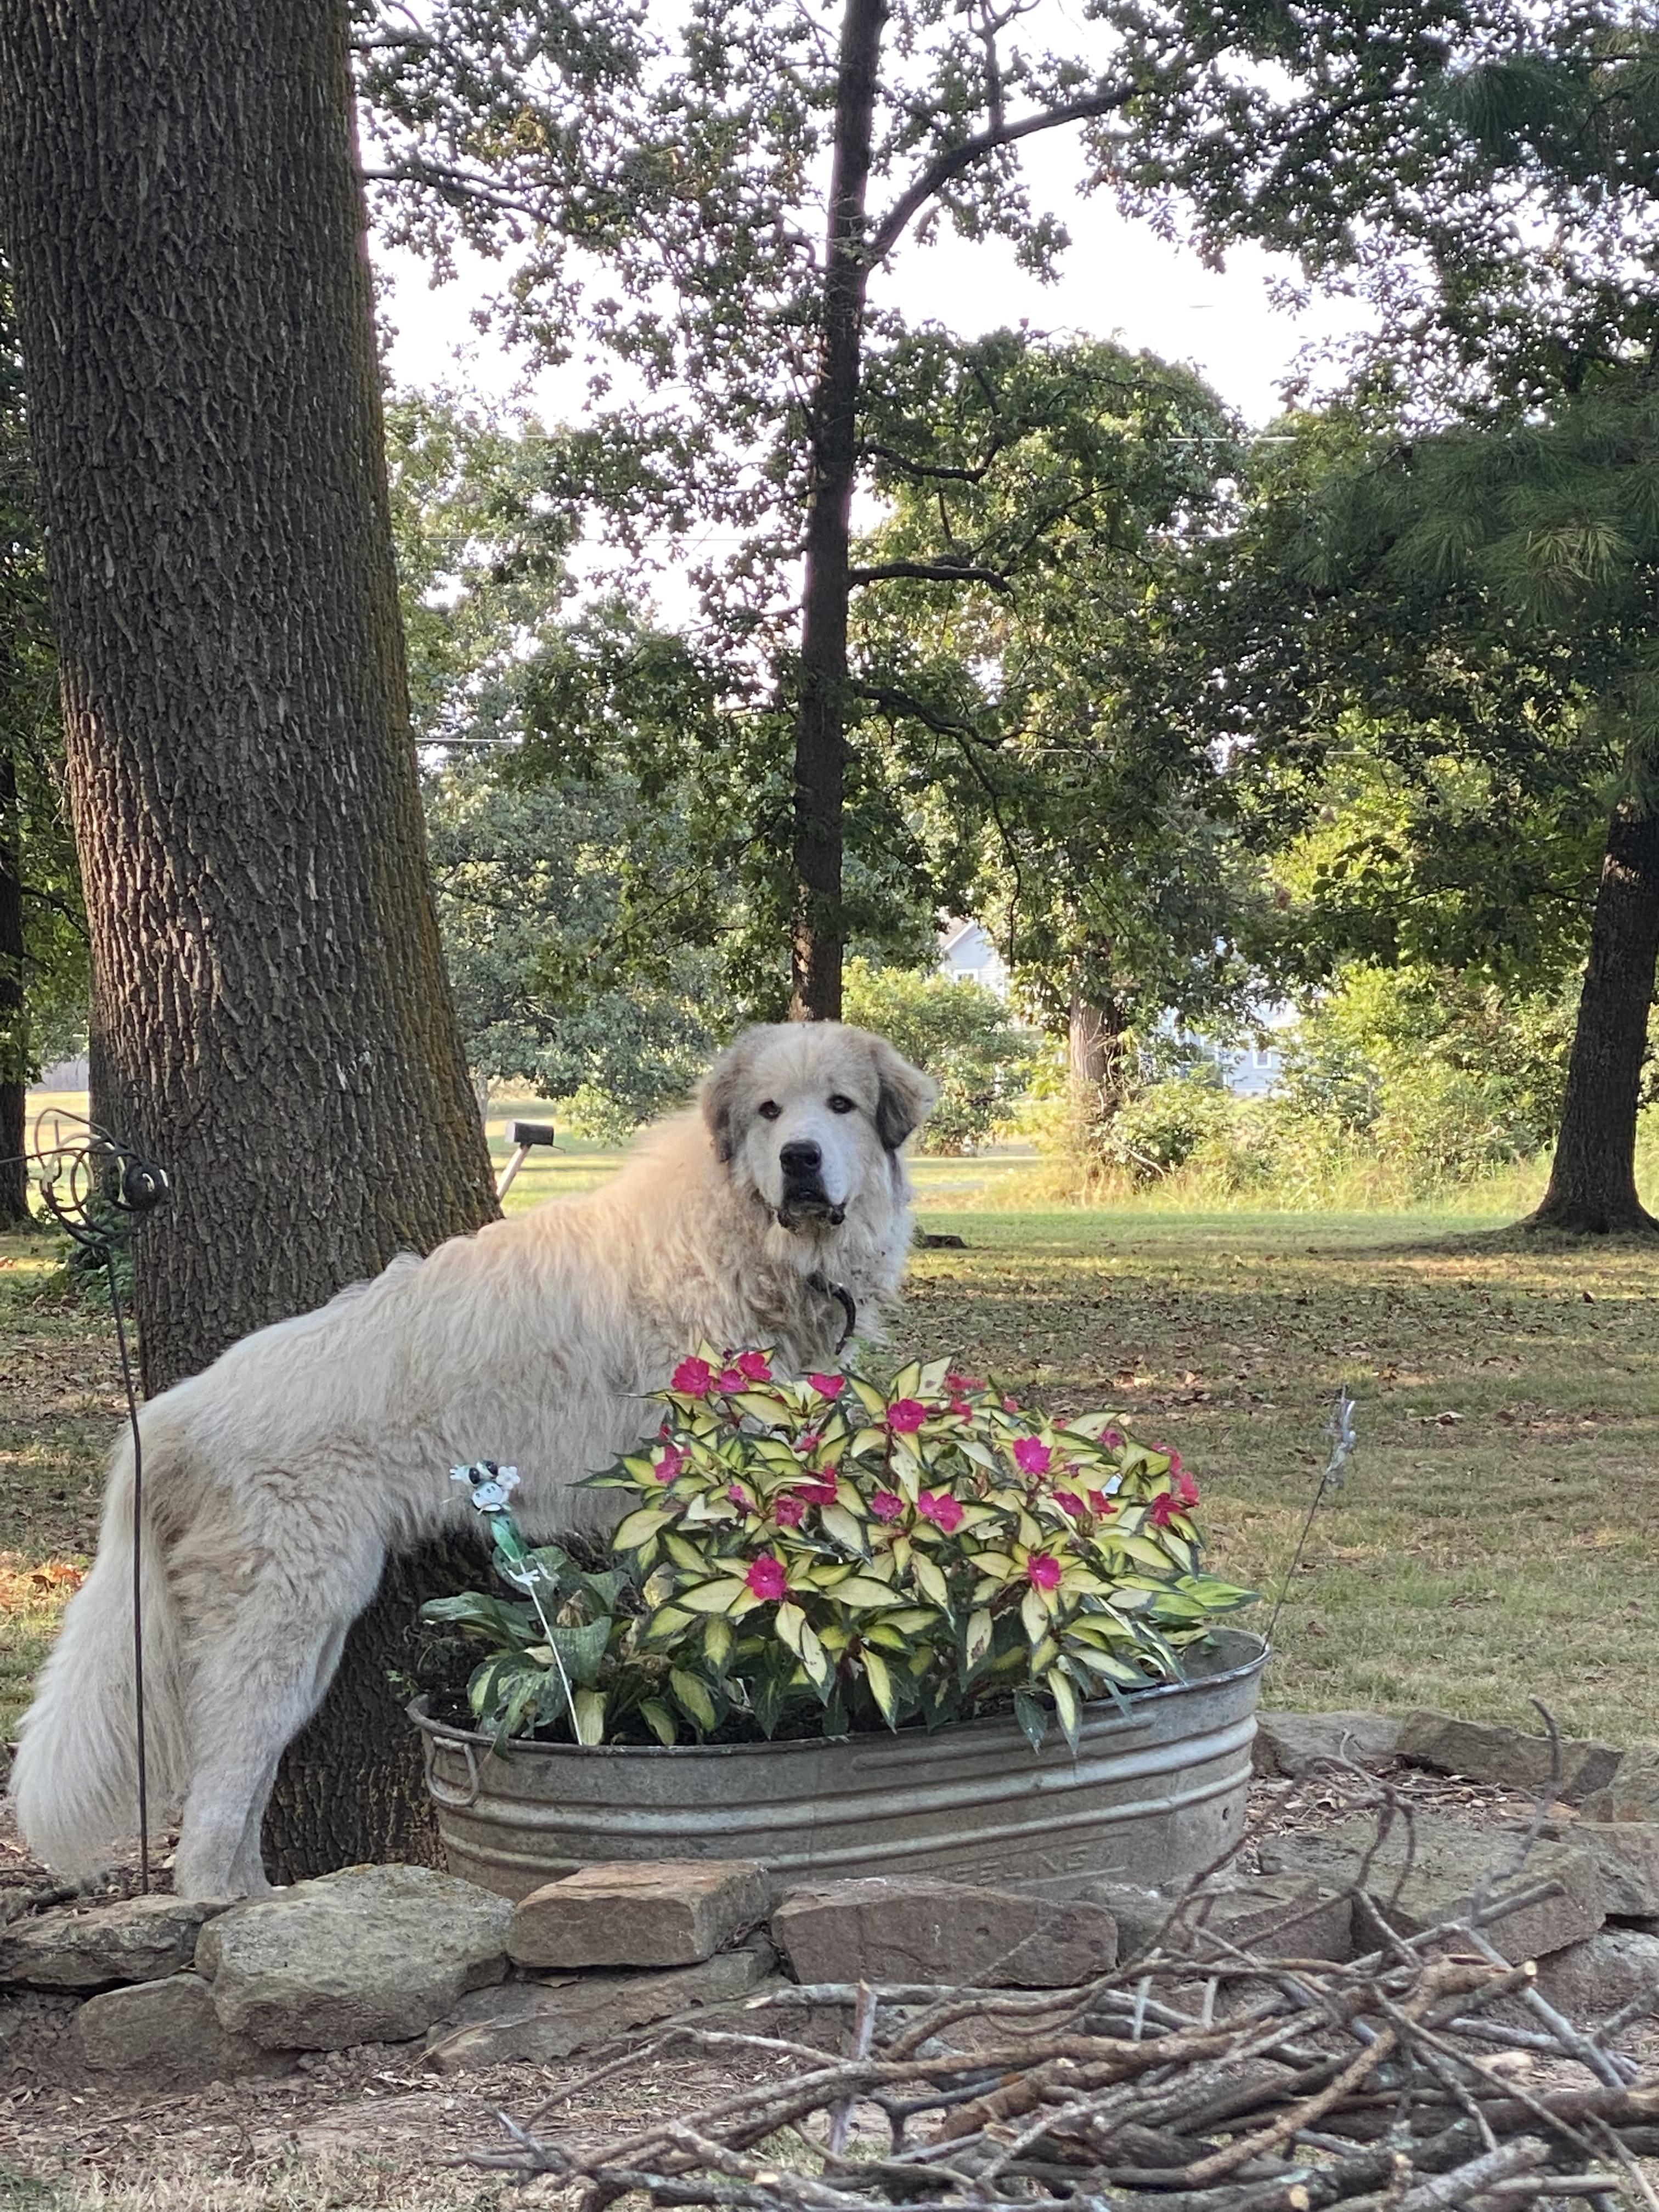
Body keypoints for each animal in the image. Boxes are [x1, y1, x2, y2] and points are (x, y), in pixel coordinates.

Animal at [12, 1022, 936, 1900]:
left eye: (841, 1106)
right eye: (770, 1113)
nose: (800, 1159)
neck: (748, 1241)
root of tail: (171, 1414)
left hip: (307, 1637)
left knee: (241, 1785)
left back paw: (264, 1901)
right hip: (280, 1622)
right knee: (211, 1816)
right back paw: (228, 1914)